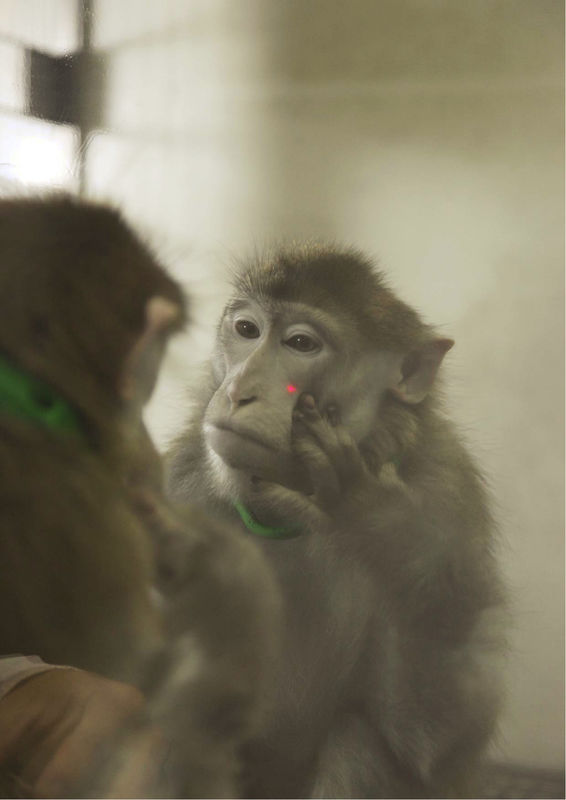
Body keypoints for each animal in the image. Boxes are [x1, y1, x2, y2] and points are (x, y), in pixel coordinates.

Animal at [166, 245, 508, 800]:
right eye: (246, 330)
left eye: (301, 343)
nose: (238, 390)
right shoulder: (181, 485)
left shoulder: (447, 503)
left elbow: (432, 747)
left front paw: (374, 519)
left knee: (359, 742)